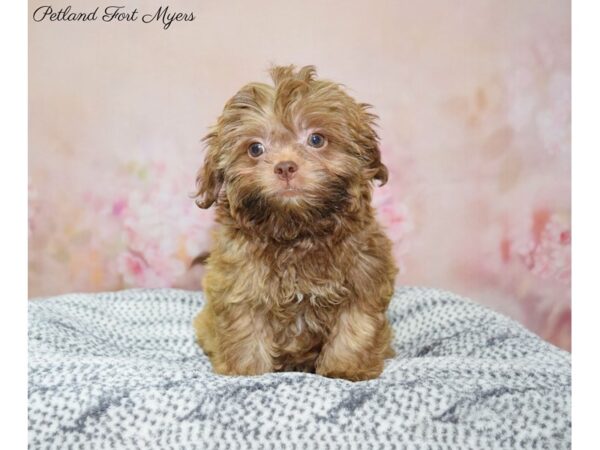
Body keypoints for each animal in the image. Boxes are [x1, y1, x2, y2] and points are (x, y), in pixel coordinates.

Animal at [193, 65, 398, 380]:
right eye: (255, 149)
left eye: (316, 140)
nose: (285, 166)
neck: (296, 232)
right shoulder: (238, 284)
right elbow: (245, 330)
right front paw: (246, 372)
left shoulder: (365, 275)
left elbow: (355, 327)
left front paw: (346, 369)